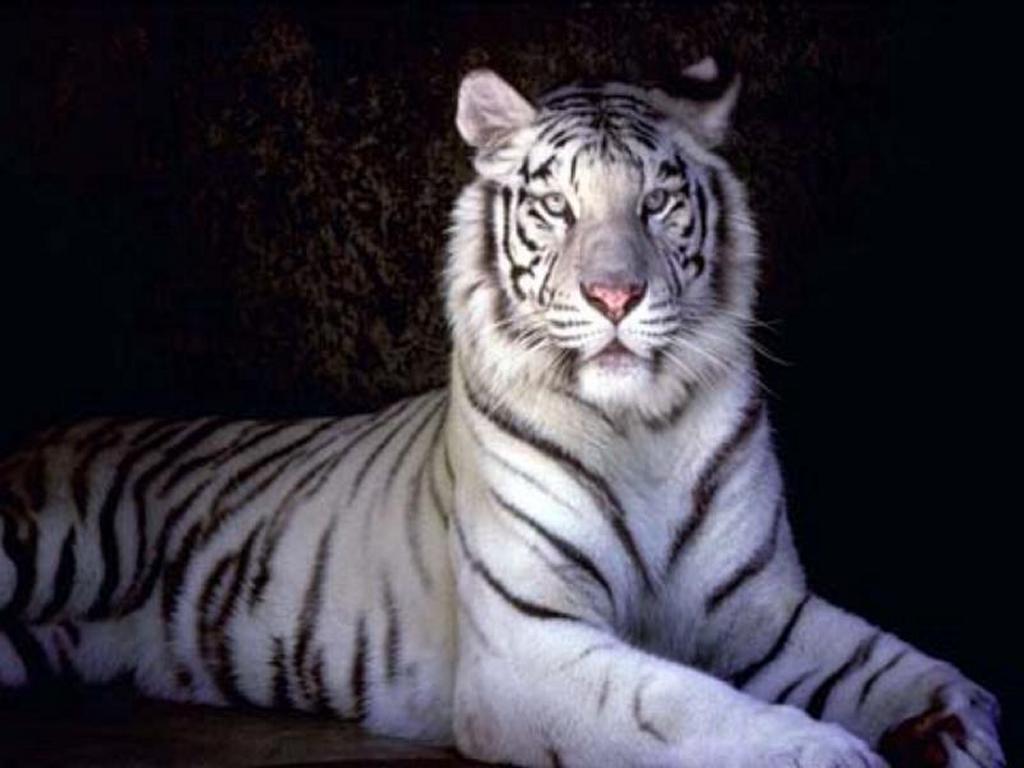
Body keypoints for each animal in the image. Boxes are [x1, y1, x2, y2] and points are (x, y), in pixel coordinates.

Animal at [0, 60, 1006, 768]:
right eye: (556, 207)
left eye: (658, 201)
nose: (614, 295)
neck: (643, 426)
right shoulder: (529, 642)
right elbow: (676, 704)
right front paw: (818, 749)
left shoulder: (762, 611)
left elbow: (893, 664)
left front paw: (961, 727)